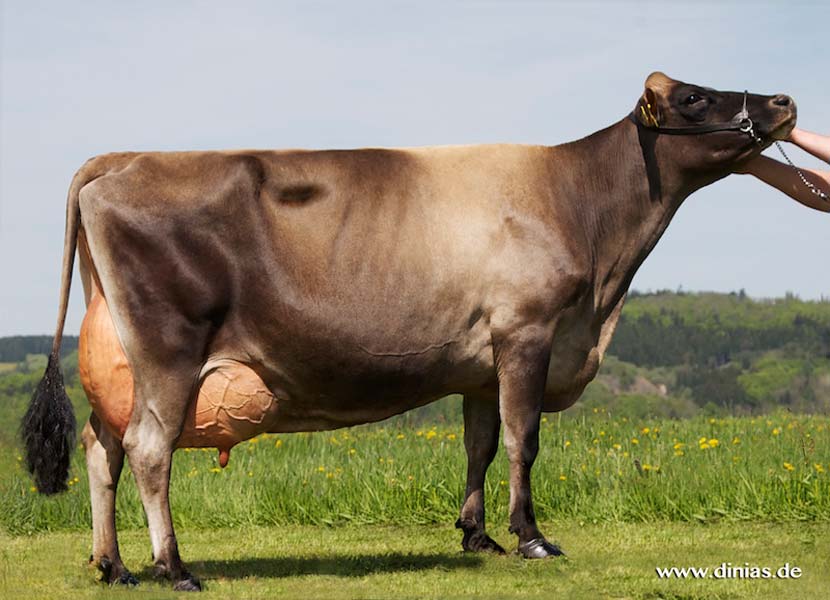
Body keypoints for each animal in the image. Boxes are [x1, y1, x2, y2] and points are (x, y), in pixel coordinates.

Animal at [22, 72, 796, 591]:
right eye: (694, 98)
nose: (785, 102)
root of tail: (123, 159)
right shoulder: (529, 332)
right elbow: (524, 440)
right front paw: (532, 537)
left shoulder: (485, 360)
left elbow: (481, 443)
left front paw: (476, 535)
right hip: (170, 349)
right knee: (149, 451)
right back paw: (174, 566)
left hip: (123, 362)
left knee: (101, 448)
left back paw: (113, 564)